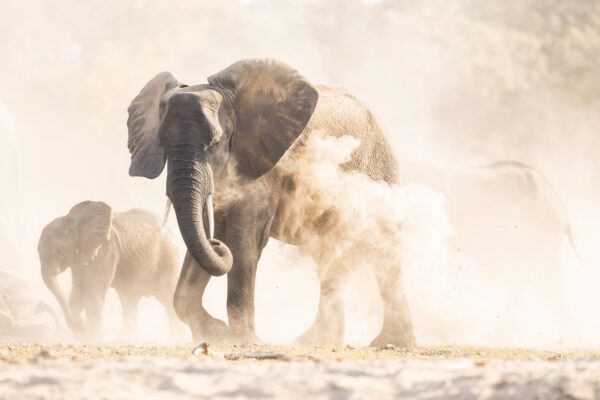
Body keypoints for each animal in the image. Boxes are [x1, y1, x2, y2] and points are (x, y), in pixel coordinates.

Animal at [37, 200, 182, 340]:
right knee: (129, 301)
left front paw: (92, 339)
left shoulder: (104, 252)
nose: (81, 327)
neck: (72, 221)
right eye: (38, 252)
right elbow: (77, 294)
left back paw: (175, 339)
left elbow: (93, 295)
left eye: (59, 252)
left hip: (168, 260)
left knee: (168, 299)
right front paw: (84, 334)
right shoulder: (79, 259)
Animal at [125, 57, 418, 346]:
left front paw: (242, 340)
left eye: (216, 142)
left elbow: (243, 244)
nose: (217, 243)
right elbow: (202, 240)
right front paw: (216, 333)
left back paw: (391, 342)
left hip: (379, 176)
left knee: (383, 253)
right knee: (332, 256)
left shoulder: (264, 167)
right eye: (162, 143)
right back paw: (317, 341)